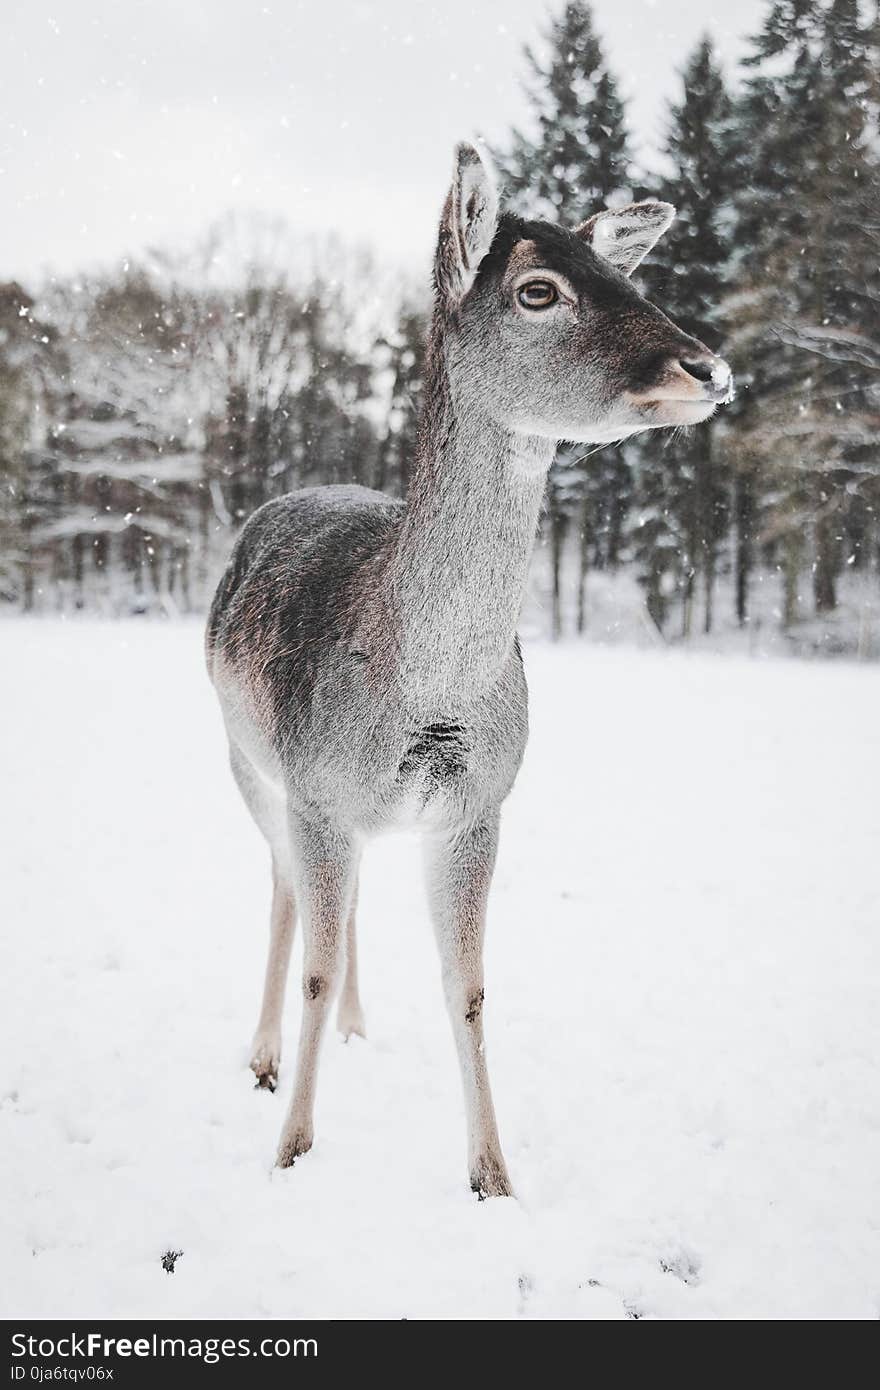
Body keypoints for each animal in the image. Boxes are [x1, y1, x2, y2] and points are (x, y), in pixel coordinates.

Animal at [202, 146, 728, 1200]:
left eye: (629, 275)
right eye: (539, 290)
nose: (707, 366)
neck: (430, 697)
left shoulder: (480, 803)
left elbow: (470, 984)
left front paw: (493, 1175)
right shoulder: (317, 791)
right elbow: (315, 960)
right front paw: (291, 1151)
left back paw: (357, 1029)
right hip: (247, 762)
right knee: (282, 887)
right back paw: (264, 1057)